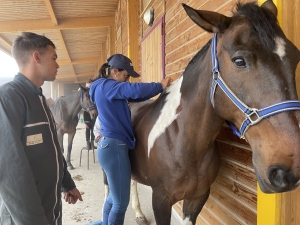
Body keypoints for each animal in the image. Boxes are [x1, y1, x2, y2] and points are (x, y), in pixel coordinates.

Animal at [129, 0, 300, 224]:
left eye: (296, 57)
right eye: (239, 61)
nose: (288, 171)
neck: (183, 143)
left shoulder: (198, 197)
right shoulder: (161, 200)